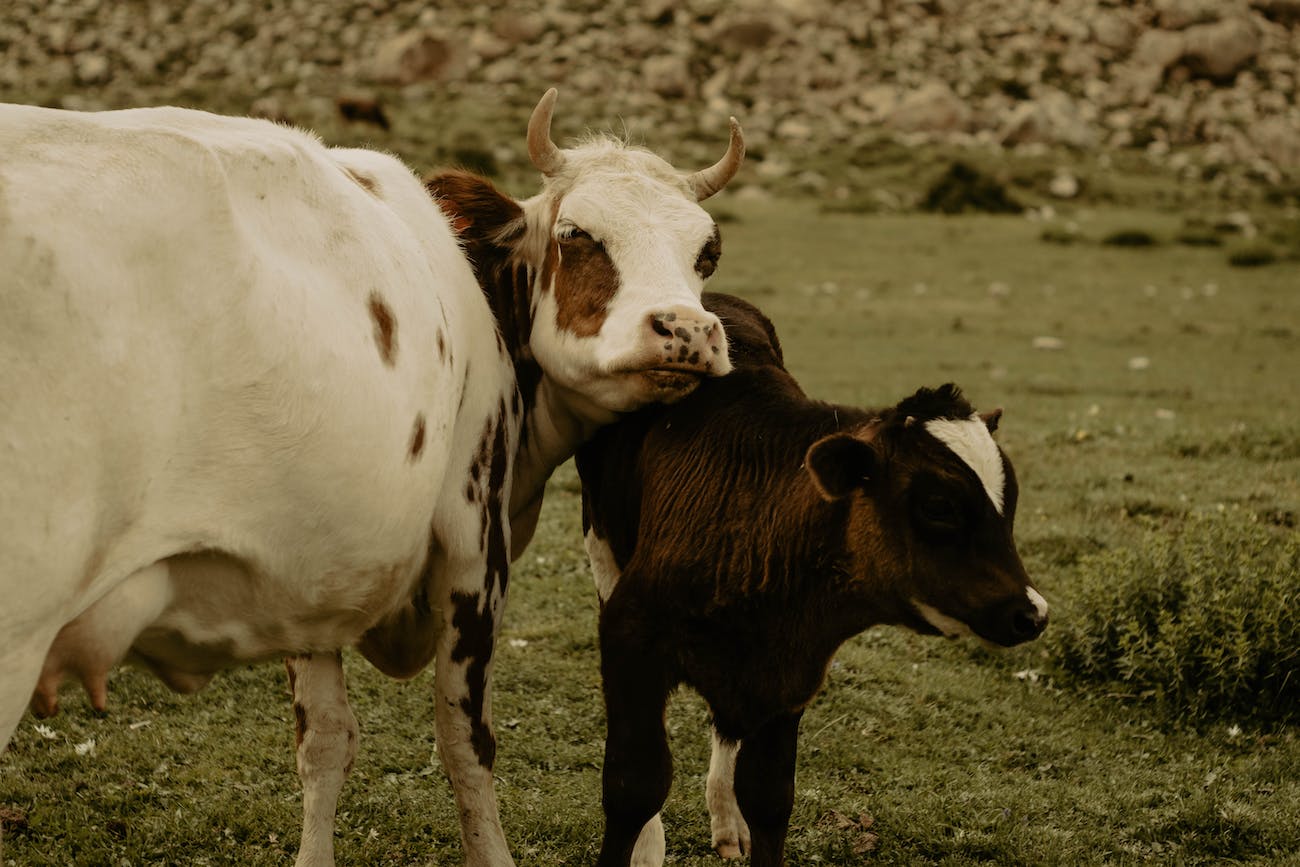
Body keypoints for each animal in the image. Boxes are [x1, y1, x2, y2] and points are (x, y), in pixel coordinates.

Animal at [0, 91, 743, 863]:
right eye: (577, 233)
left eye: (707, 251)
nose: (687, 329)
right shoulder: (473, 540)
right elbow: (463, 740)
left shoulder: (312, 560)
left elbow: (325, 740)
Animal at [577, 293, 1045, 867]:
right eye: (939, 506)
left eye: (1010, 501)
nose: (1031, 612)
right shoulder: (631, 638)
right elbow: (634, 786)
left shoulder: (790, 674)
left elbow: (769, 798)